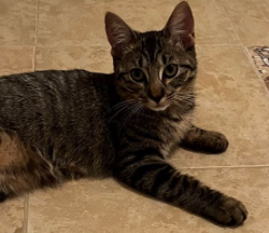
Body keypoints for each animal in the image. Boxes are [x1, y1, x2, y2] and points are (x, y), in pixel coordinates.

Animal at [0, 1, 246, 228]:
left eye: (170, 70)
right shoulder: (138, 161)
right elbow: (183, 183)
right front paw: (224, 203)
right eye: (137, 74)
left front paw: (209, 136)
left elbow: (186, 126)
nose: (156, 95)